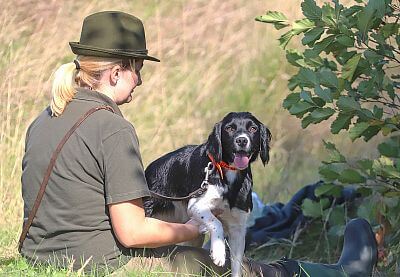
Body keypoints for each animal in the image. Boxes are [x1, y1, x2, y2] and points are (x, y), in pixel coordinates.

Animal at [144, 111, 272, 274]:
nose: (242, 140)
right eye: (229, 128)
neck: (228, 175)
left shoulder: (238, 226)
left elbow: (237, 265)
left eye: (253, 128)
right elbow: (216, 222)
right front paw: (218, 252)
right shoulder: (196, 205)